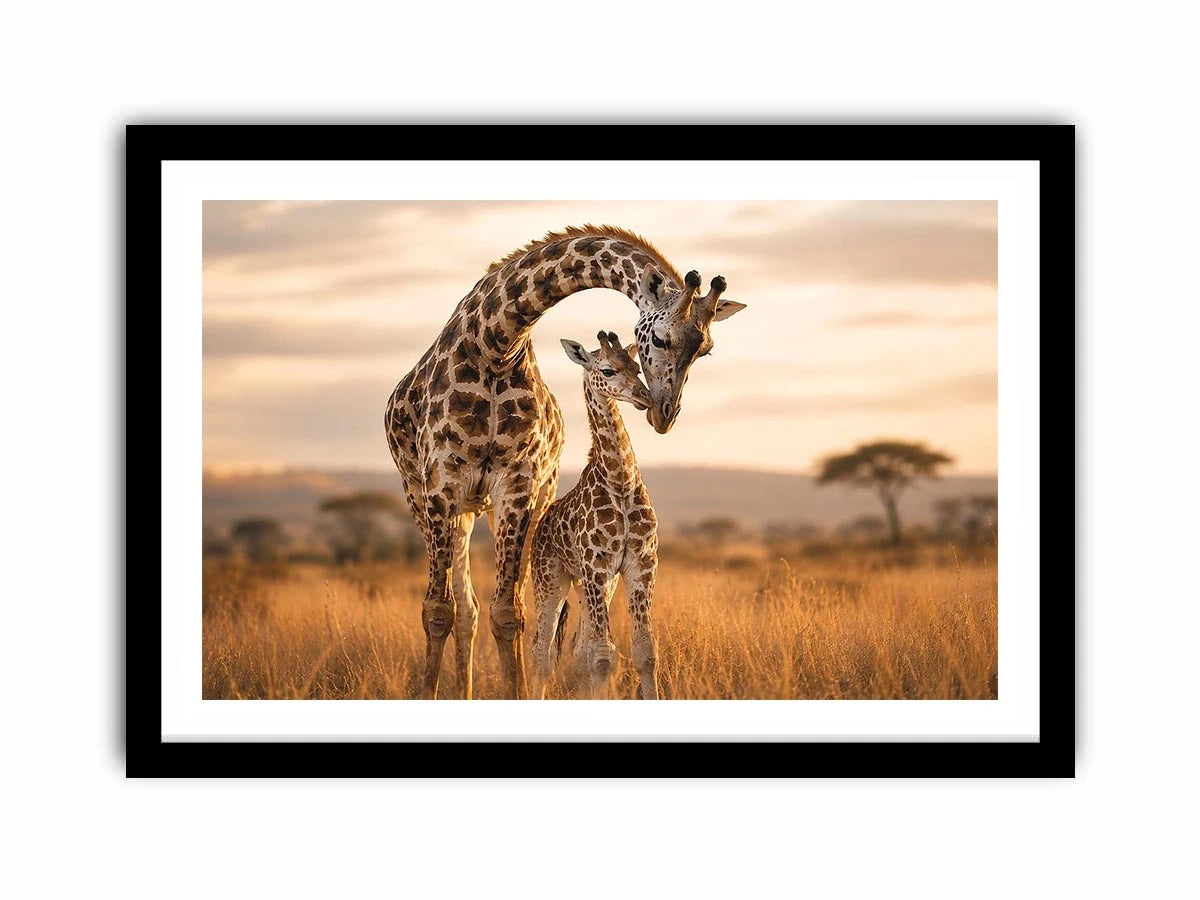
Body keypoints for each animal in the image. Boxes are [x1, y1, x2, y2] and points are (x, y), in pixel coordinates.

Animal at [530, 331, 660, 700]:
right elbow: (603, 656)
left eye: (636, 366)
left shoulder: (640, 565)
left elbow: (644, 650)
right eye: (607, 369)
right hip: (551, 580)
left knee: (578, 649)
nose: (645, 396)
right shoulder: (596, 567)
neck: (621, 482)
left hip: (590, 584)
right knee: (541, 652)